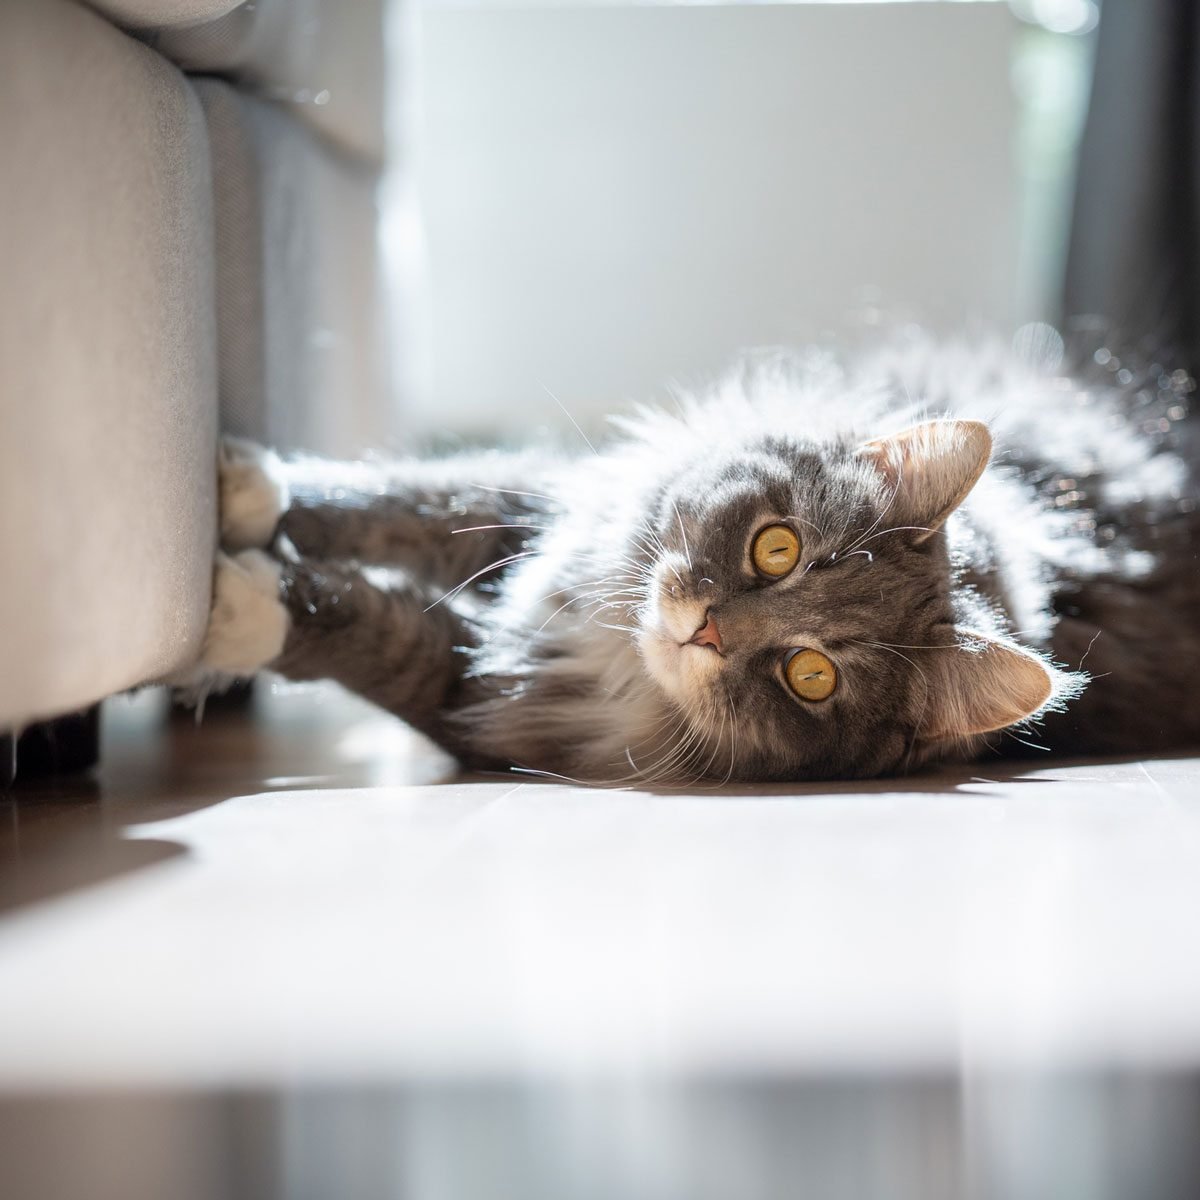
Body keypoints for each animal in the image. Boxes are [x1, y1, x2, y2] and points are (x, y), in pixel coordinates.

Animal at [182, 338, 1195, 787]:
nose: (706, 629)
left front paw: (231, 608)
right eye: (777, 548)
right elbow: (397, 502)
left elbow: (366, 629)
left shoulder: (480, 700)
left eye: (811, 676)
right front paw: (246, 495)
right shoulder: (540, 511)